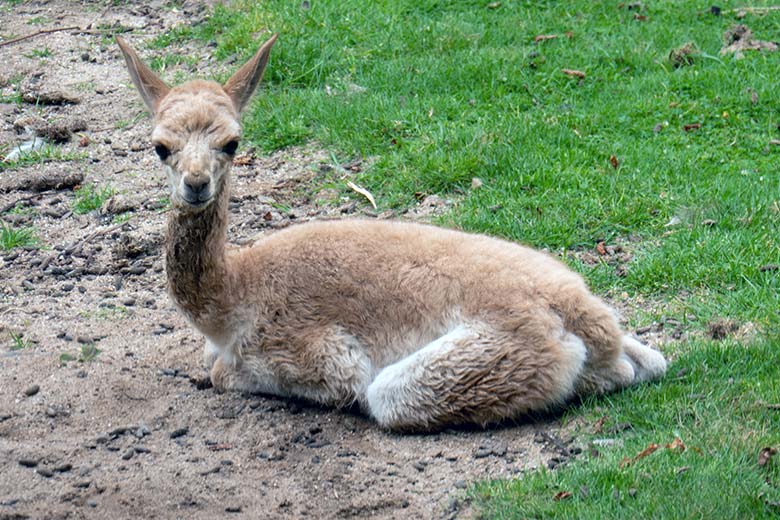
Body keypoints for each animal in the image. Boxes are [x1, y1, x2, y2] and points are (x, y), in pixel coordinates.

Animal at [116, 33, 664, 430]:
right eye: (160, 147)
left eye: (231, 143)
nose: (196, 184)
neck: (233, 295)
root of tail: (585, 313)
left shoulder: (316, 354)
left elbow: (224, 373)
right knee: (648, 362)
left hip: (485, 359)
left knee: (389, 400)